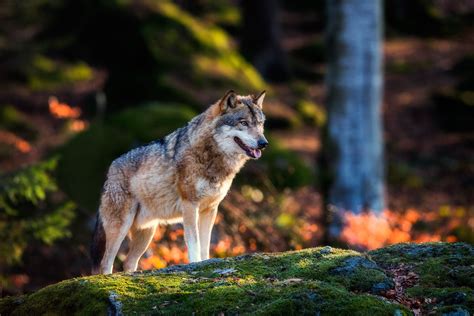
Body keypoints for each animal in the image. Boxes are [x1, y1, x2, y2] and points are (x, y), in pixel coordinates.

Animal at [89, 89, 266, 274]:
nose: (264, 143)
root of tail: (110, 170)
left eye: (260, 124)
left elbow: (205, 245)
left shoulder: (210, 209)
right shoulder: (190, 205)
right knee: (105, 263)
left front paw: (206, 263)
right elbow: (194, 243)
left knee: (128, 262)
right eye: (244, 123)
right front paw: (195, 264)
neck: (212, 158)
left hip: (147, 233)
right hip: (121, 227)